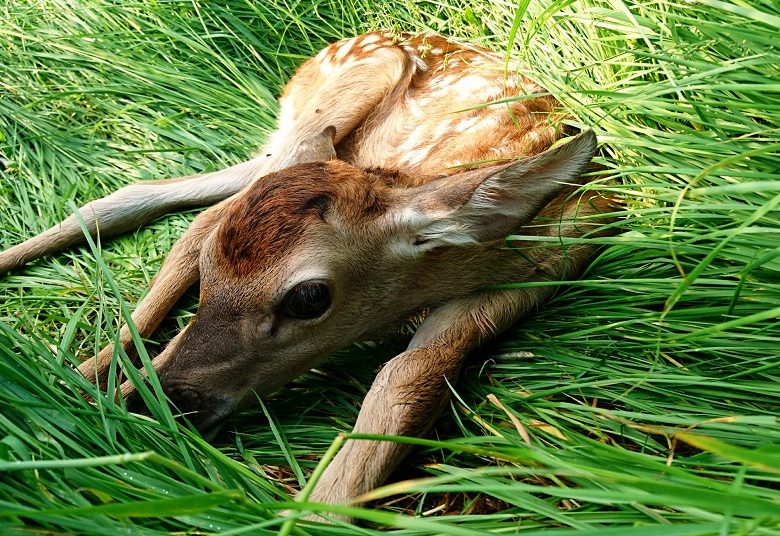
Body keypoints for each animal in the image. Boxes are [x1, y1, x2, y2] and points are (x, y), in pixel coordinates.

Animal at [0, 31, 608, 512]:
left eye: (309, 298)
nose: (160, 401)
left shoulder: (545, 265)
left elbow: (407, 377)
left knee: (167, 200)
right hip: (335, 105)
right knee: (205, 216)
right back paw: (79, 368)